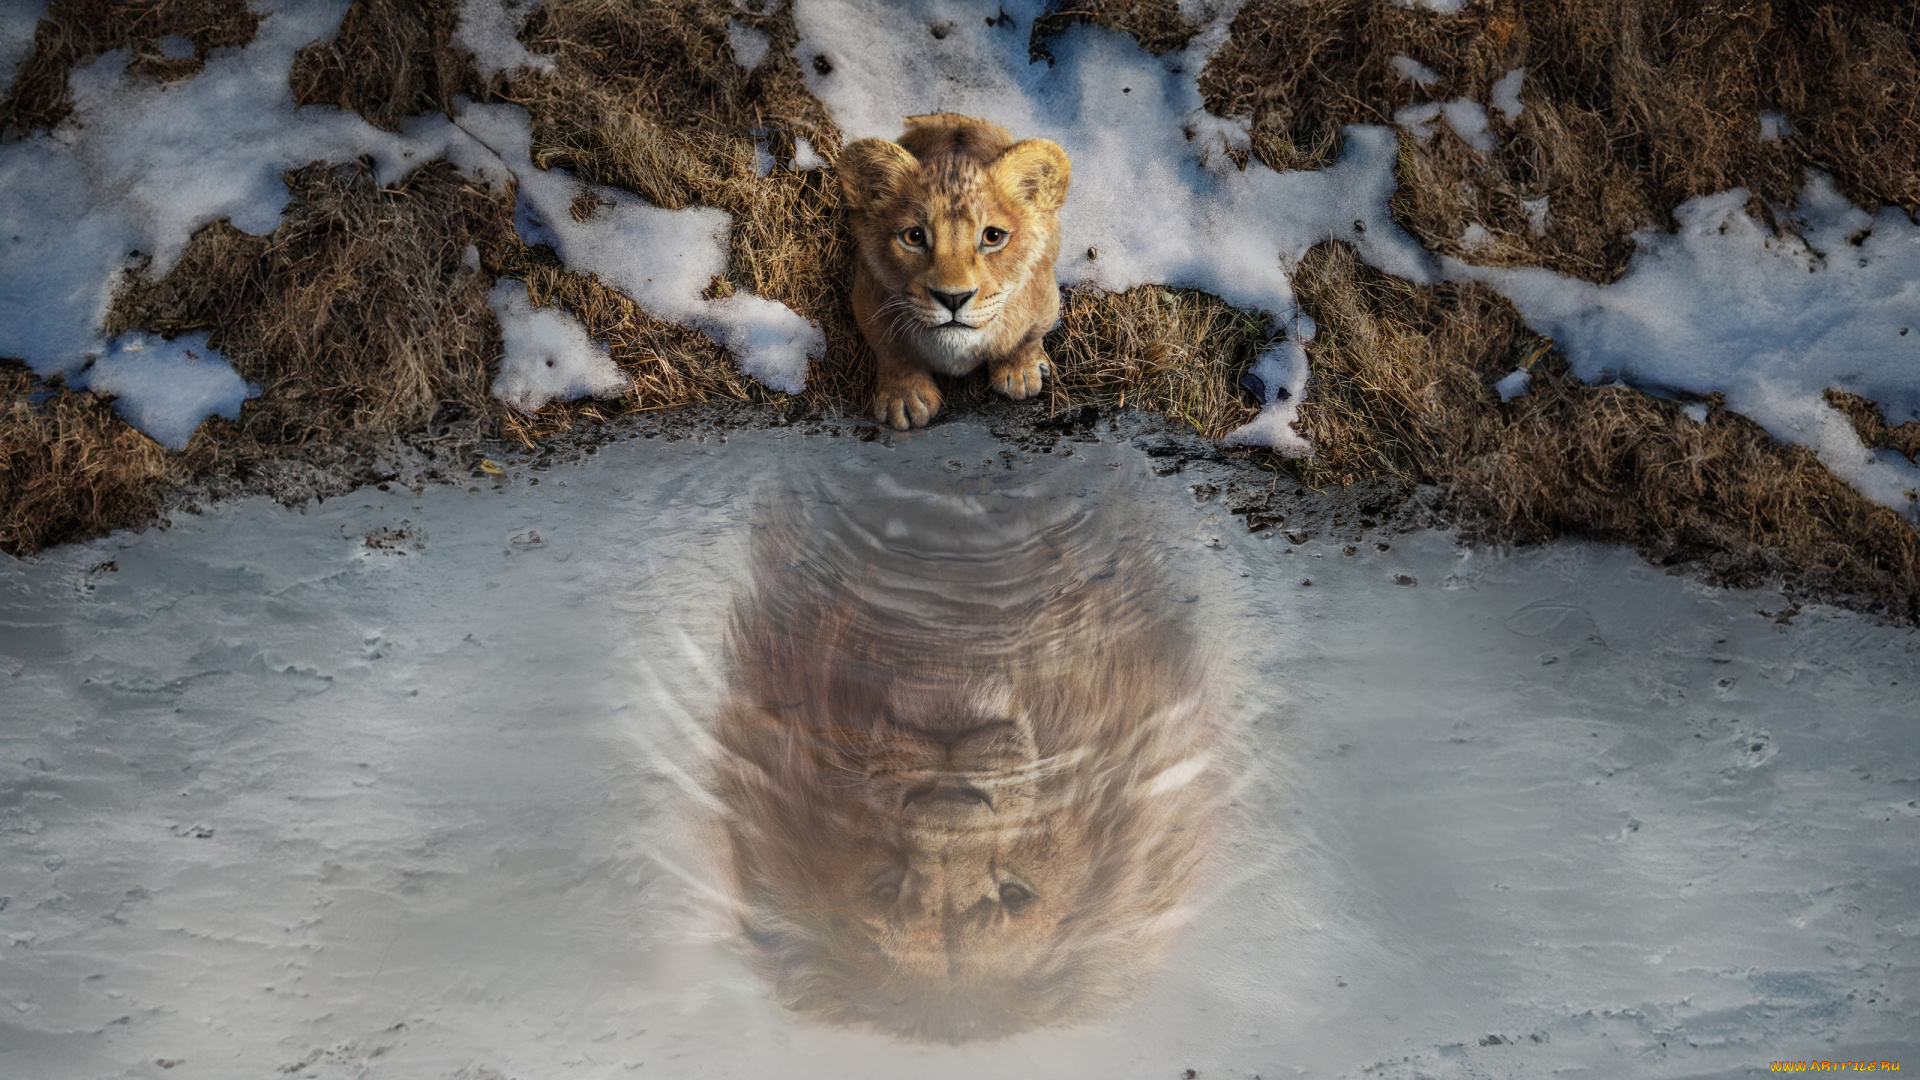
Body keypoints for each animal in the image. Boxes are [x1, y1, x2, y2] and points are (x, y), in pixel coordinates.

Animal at [838, 113, 1071, 430]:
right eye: (913, 236)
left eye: (993, 236)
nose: (953, 299)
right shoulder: (867, 297)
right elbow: (891, 349)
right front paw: (905, 397)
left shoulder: (1045, 296)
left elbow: (1028, 336)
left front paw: (1020, 372)